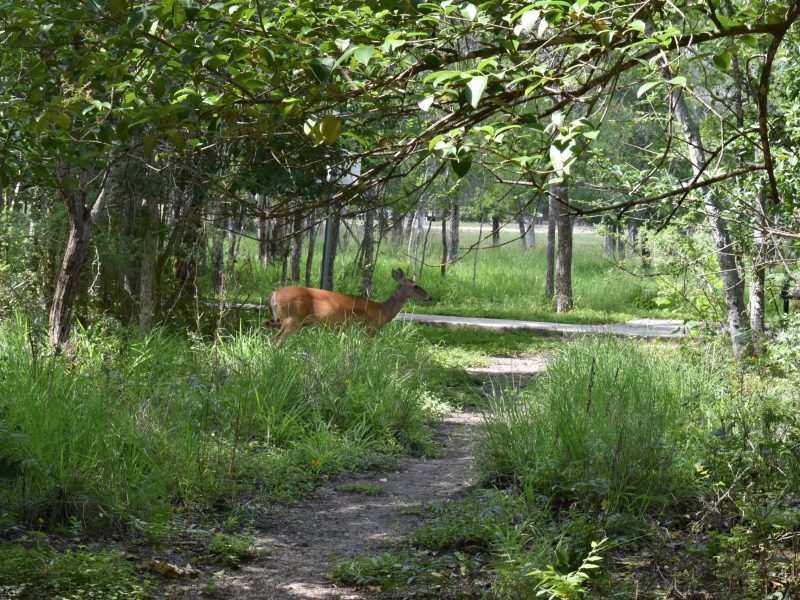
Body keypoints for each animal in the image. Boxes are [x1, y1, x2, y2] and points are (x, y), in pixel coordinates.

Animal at [268, 270, 432, 344]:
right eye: (415, 286)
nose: (430, 297)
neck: (383, 311)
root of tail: (274, 294)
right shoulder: (370, 329)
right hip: (292, 318)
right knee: (277, 338)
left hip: (292, 320)